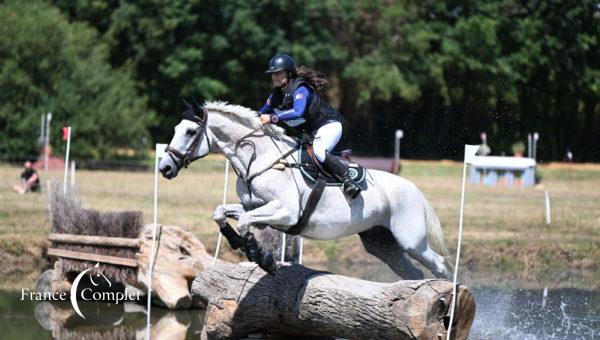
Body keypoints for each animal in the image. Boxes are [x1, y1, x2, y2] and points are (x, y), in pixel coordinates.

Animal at [159, 99, 450, 278]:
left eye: (190, 131)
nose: (164, 168)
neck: (259, 158)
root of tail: (414, 188)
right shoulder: (254, 206)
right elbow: (221, 212)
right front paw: (236, 241)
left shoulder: (286, 212)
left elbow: (243, 222)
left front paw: (260, 257)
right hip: (381, 243)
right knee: (413, 272)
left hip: (410, 240)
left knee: (439, 264)